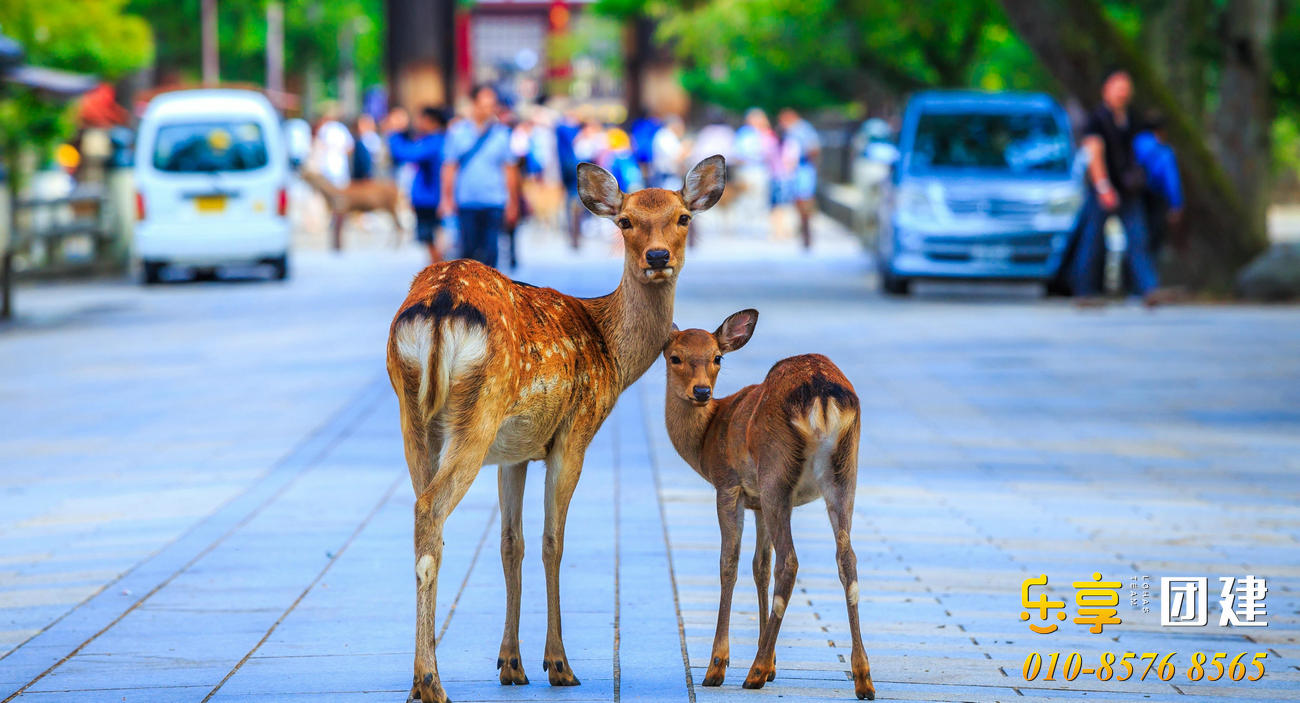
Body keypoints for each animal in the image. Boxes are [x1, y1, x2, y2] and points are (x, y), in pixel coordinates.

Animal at [384, 154, 733, 701]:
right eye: (625, 220)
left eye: (682, 218)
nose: (657, 256)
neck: (610, 351)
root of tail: (439, 306)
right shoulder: (575, 431)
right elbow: (553, 541)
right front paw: (558, 664)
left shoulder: (513, 452)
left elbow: (512, 544)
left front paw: (510, 665)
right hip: (479, 412)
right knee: (431, 510)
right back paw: (432, 682)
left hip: (413, 416)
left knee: (425, 516)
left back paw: (420, 682)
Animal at [660, 314, 873, 701]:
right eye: (675, 357)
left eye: (717, 357)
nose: (701, 392)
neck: (707, 439)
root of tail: (821, 393)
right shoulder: (756, 502)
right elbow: (760, 565)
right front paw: (773, 664)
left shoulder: (729, 485)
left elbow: (729, 563)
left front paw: (718, 666)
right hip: (844, 474)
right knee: (846, 558)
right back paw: (863, 677)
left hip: (777, 473)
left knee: (790, 561)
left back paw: (753, 672)